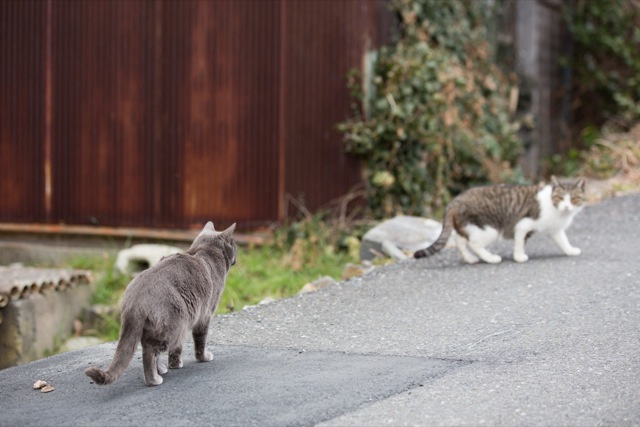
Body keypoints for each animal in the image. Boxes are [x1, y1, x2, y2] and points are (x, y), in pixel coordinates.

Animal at [84, 222, 236, 386]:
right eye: (234, 244)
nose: (237, 254)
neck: (204, 250)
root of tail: (135, 298)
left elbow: (177, 348)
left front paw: (175, 364)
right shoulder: (205, 315)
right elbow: (200, 339)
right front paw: (204, 358)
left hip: (158, 327)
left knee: (148, 348)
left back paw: (161, 369)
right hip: (173, 325)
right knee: (149, 353)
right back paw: (154, 379)